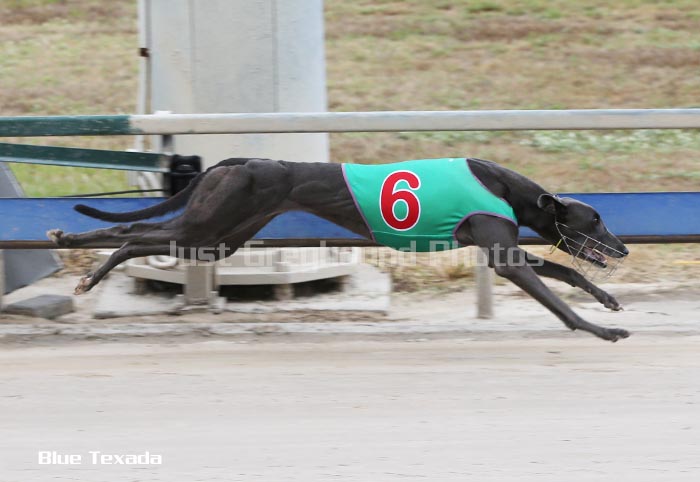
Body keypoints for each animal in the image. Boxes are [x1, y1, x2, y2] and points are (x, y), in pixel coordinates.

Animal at [48, 157, 630, 342]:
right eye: (597, 219)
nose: (623, 249)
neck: (507, 187)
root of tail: (235, 163)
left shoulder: (506, 250)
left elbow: (571, 276)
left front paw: (608, 301)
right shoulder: (504, 257)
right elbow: (557, 303)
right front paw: (600, 330)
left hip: (220, 240)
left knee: (139, 236)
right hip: (206, 226)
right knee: (128, 234)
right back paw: (72, 249)